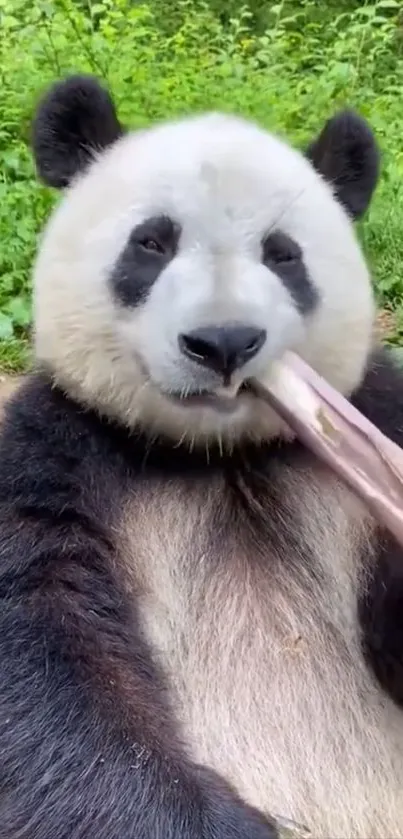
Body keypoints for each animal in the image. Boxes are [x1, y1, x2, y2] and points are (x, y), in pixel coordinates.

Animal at [0, 74, 403, 839]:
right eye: (152, 243)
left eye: (282, 254)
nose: (223, 342)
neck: (220, 454)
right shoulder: (60, 447)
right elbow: (45, 656)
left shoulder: (379, 405)